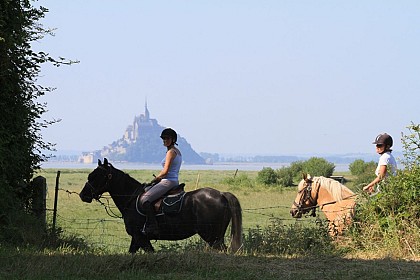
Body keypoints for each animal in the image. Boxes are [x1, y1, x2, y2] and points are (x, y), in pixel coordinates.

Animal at [79, 159, 243, 253]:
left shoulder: (140, 237)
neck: (131, 198)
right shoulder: (137, 238)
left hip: (213, 238)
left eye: (96, 176)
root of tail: (221, 194)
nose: (83, 195)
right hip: (215, 237)